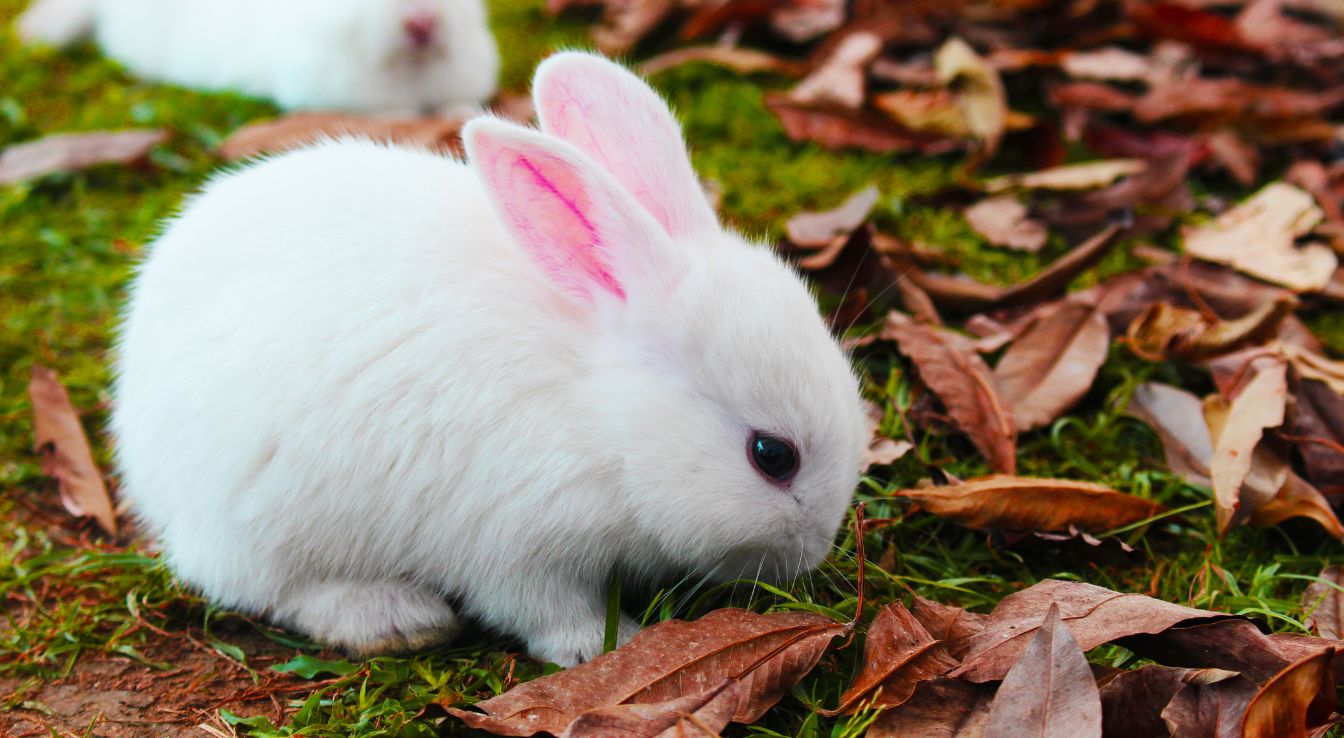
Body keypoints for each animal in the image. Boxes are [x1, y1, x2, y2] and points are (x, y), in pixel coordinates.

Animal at [110, 51, 868, 666]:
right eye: (772, 456)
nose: (817, 549)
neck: (606, 419)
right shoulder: (518, 542)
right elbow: (542, 609)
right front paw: (601, 645)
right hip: (263, 521)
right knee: (267, 586)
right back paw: (391, 616)